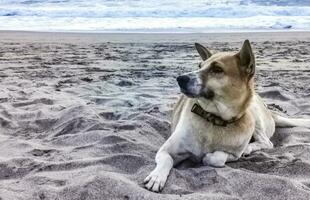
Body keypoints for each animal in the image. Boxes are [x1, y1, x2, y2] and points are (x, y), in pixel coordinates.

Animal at [143, 39, 310, 192]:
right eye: (199, 66)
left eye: (217, 69)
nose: (180, 79)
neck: (214, 119)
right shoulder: (165, 150)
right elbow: (166, 160)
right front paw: (156, 177)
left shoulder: (233, 154)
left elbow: (216, 158)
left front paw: (210, 157)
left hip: (253, 114)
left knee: (267, 142)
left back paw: (249, 148)